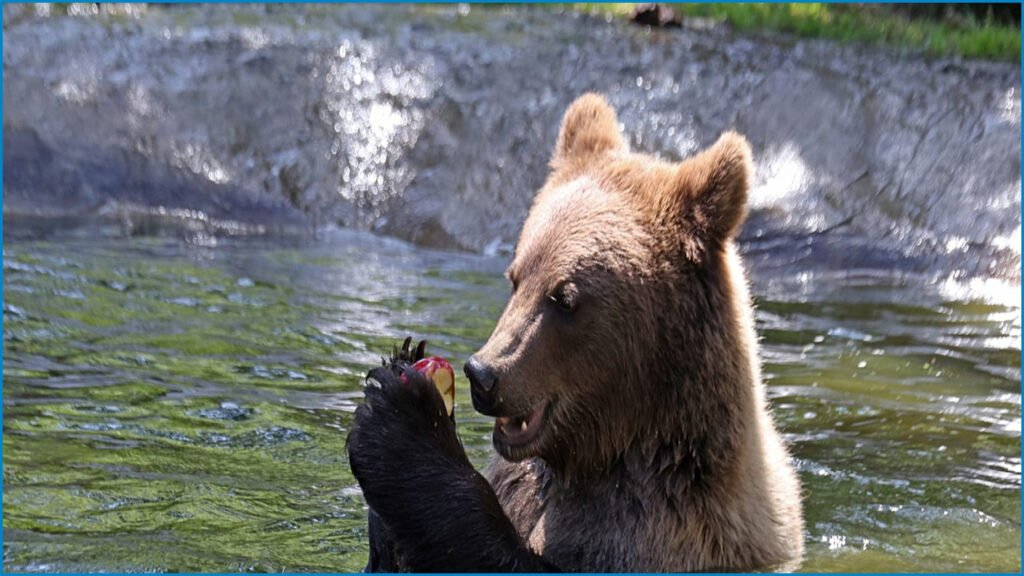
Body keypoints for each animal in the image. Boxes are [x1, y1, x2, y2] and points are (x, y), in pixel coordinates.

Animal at [347, 93, 804, 572]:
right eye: (516, 277)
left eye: (564, 298)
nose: (483, 374)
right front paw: (399, 367)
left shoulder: (653, 530)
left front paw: (404, 422)